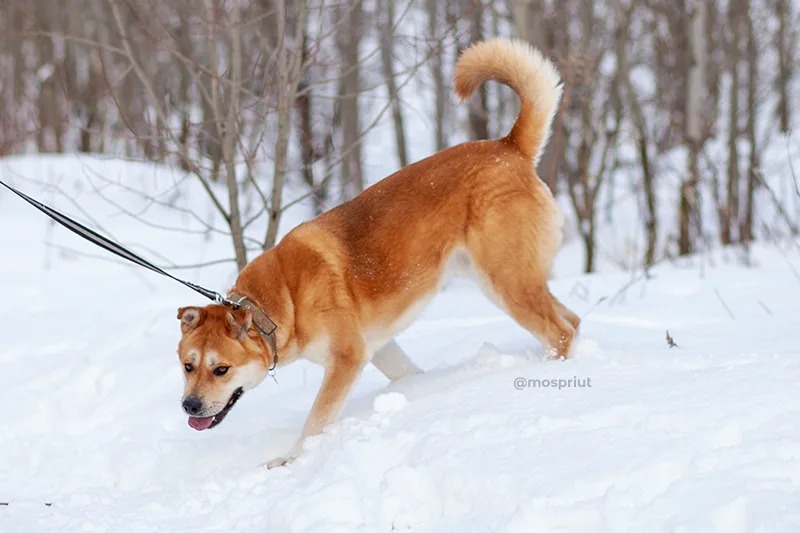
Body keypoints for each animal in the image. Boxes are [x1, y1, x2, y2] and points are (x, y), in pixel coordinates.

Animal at [175, 38, 580, 466]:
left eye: (220, 369)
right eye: (188, 366)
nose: (189, 406)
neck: (285, 302)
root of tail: (509, 147)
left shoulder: (347, 358)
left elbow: (316, 420)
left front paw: (291, 459)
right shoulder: (379, 347)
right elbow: (408, 373)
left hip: (505, 281)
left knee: (560, 333)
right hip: (514, 279)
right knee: (572, 321)